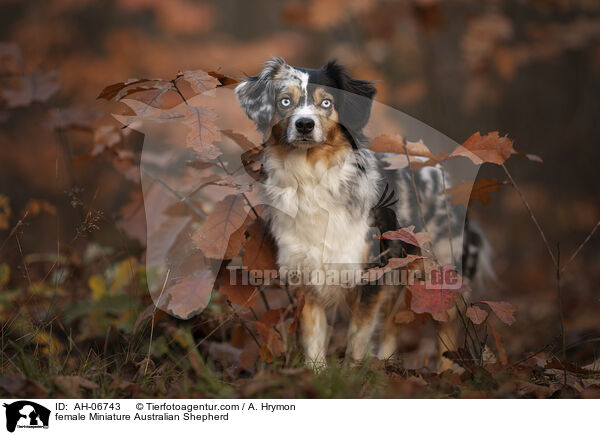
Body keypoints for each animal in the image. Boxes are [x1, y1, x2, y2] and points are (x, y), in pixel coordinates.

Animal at [232, 57, 490, 372]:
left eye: (327, 103)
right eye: (284, 101)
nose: (304, 124)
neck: (312, 177)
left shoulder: (370, 274)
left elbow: (357, 338)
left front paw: (354, 373)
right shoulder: (307, 276)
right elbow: (313, 337)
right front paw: (316, 373)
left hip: (439, 268)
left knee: (446, 324)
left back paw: (446, 372)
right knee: (392, 327)